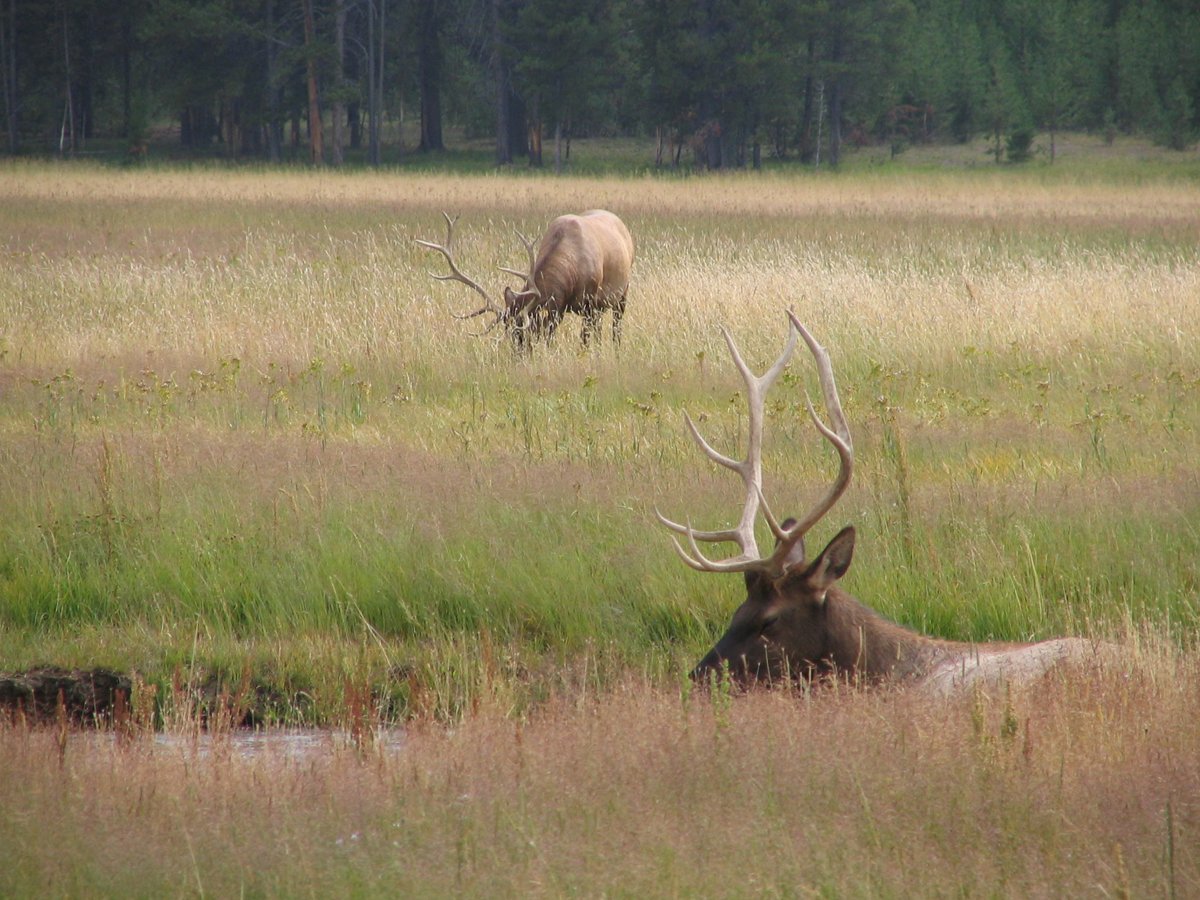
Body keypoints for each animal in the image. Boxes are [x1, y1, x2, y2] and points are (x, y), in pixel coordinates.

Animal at [415, 210, 634, 350]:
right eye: (508, 331)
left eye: (526, 334)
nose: (518, 357)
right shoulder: (559, 307)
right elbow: (552, 336)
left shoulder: (588, 301)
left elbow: (583, 340)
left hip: (622, 292)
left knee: (616, 326)